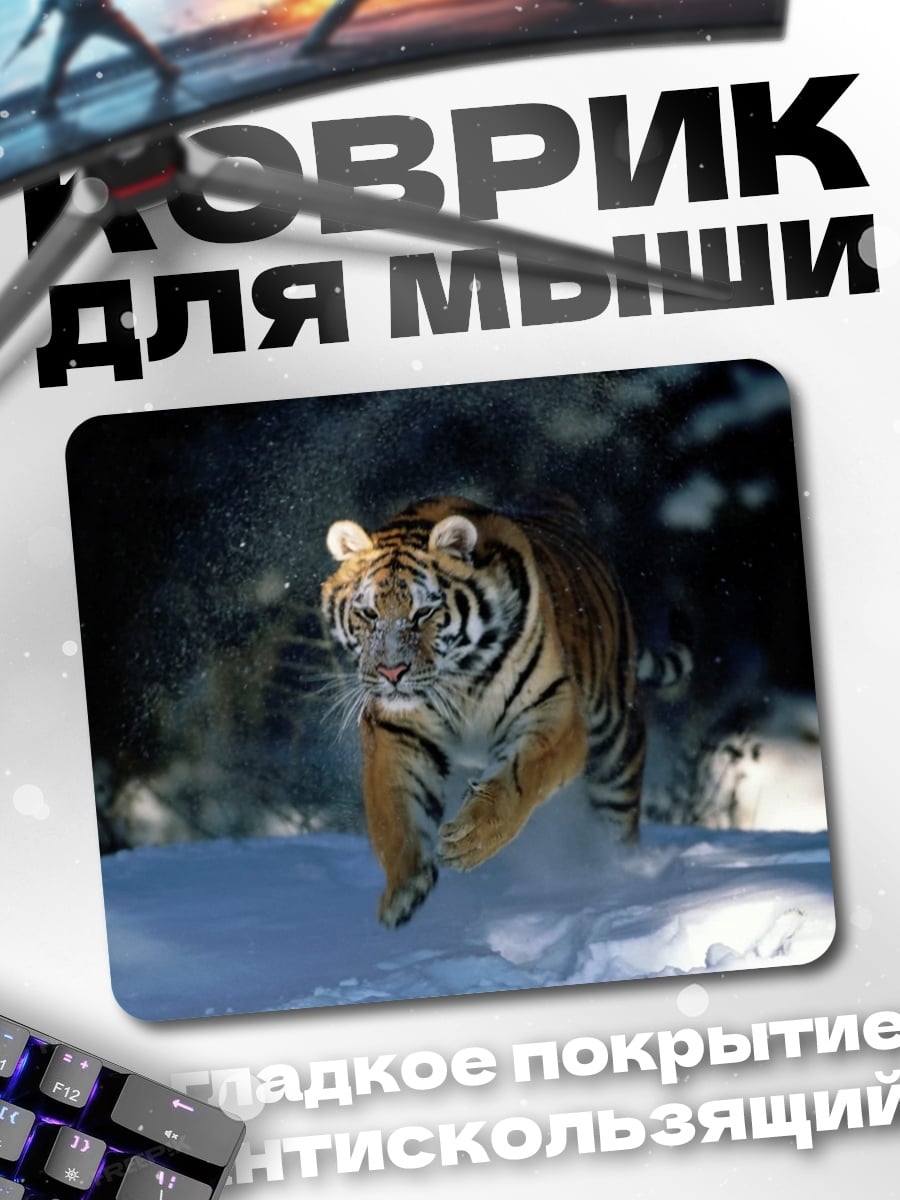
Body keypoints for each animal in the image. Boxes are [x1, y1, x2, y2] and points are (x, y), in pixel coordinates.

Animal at [321, 495, 691, 928]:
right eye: (369, 614)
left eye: (423, 613)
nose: (391, 672)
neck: (459, 678)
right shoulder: (397, 730)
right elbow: (394, 809)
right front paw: (404, 888)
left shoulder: (553, 709)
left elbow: (518, 778)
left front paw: (471, 840)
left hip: (617, 752)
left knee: (618, 828)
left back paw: (621, 880)